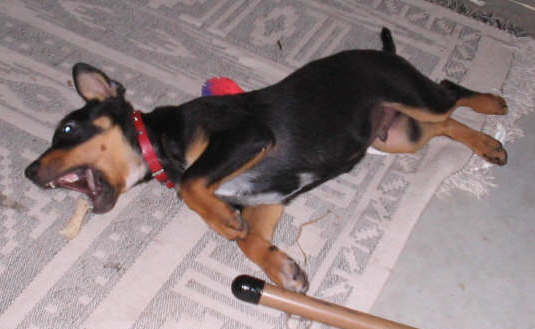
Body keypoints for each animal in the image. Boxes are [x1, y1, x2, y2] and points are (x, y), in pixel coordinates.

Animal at [25, 27, 508, 290]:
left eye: (66, 131)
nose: (29, 172)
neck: (163, 140)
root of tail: (384, 52)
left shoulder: (247, 137)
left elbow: (192, 186)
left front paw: (222, 221)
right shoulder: (271, 197)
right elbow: (250, 240)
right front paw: (284, 270)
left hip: (412, 96)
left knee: (451, 92)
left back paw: (494, 108)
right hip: (399, 134)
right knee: (446, 125)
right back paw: (487, 143)